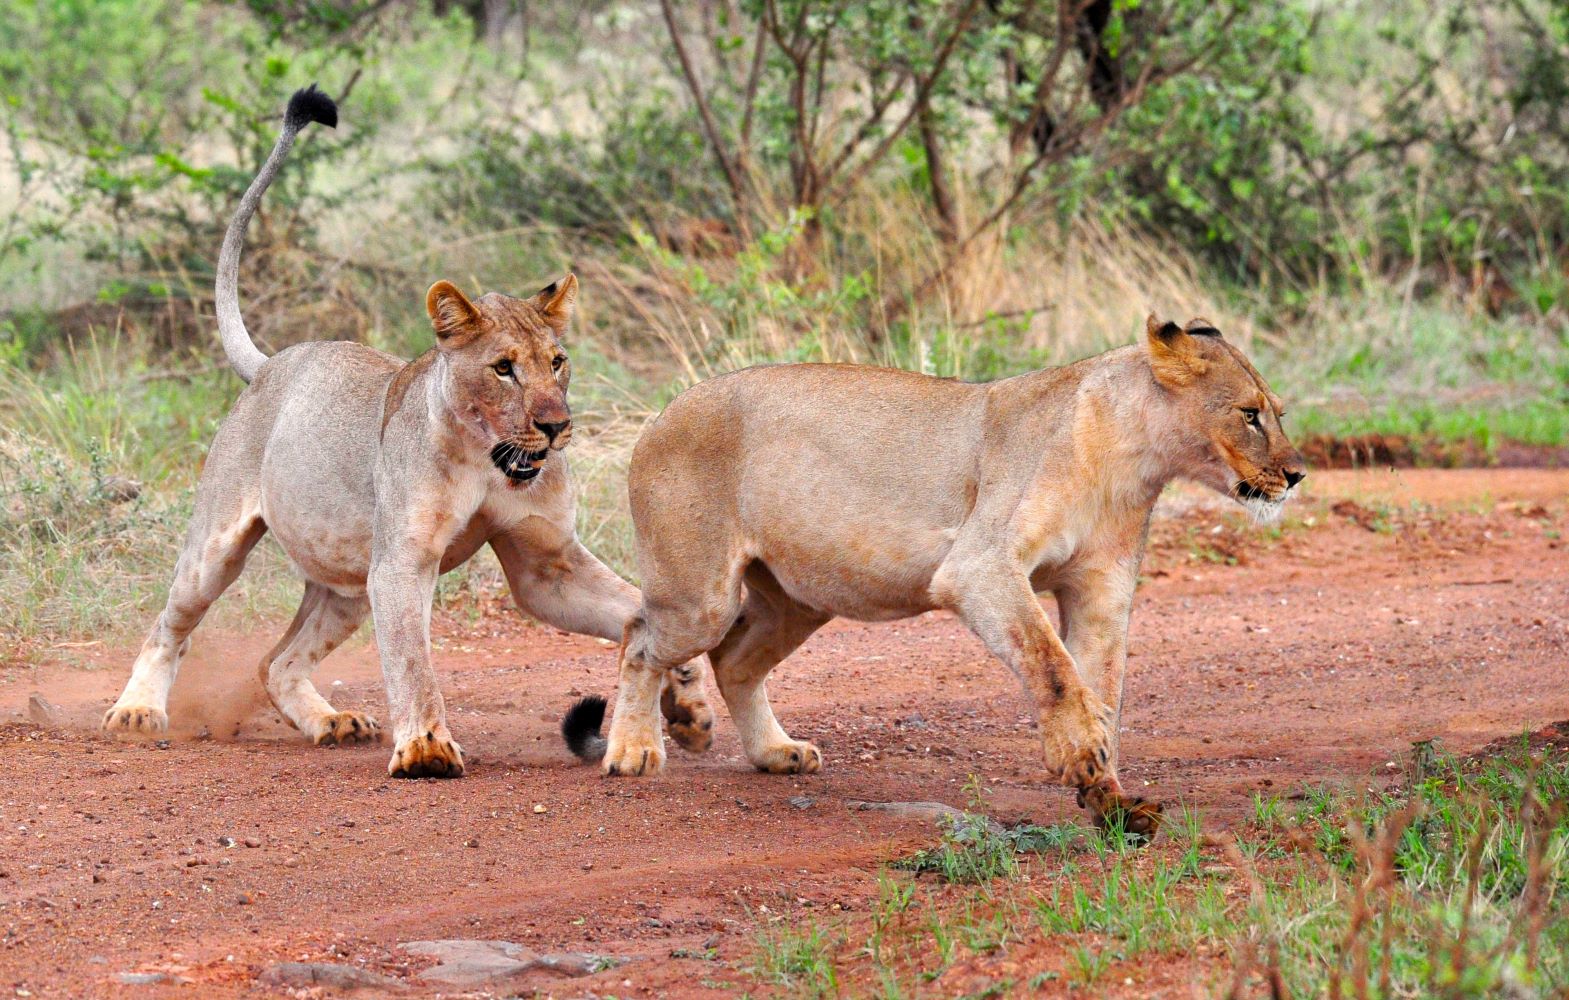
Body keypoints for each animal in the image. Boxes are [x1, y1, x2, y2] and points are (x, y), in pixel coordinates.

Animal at [102, 86, 639, 778]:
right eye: (503, 368)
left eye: (557, 362)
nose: (556, 426)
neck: (484, 457)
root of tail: (273, 362)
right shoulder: (401, 562)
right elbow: (412, 661)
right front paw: (427, 748)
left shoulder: (547, 564)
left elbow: (633, 608)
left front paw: (680, 695)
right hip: (217, 550)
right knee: (170, 624)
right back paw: (137, 710)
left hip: (348, 579)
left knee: (276, 661)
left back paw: (331, 722)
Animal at [562, 318, 1304, 836]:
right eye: (1249, 413)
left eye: (1276, 411)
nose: (1296, 474)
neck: (1134, 459)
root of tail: (661, 413)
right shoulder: (980, 565)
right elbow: (1052, 664)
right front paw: (1081, 754)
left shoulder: (1100, 589)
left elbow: (1102, 687)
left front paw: (1112, 802)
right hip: (702, 594)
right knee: (640, 634)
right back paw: (637, 747)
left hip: (798, 599)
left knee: (734, 661)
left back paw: (773, 751)